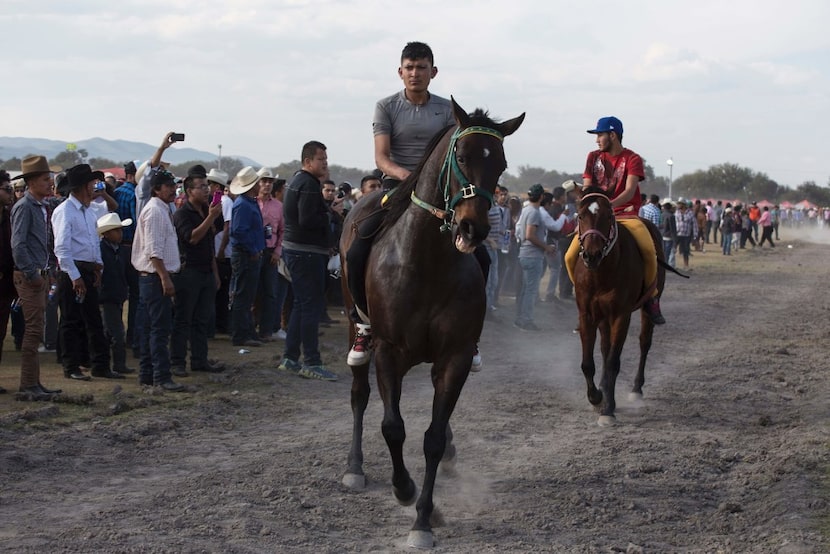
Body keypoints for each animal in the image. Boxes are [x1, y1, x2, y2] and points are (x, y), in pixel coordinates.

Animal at [340, 97, 524, 544]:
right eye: (462, 155)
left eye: (501, 162)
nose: (473, 228)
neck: (424, 263)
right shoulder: (389, 352)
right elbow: (393, 427)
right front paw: (404, 490)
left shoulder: (454, 356)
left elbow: (434, 439)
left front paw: (425, 517)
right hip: (355, 323)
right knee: (359, 393)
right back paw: (354, 468)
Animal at [576, 188, 668, 424]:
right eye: (580, 216)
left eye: (609, 216)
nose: (591, 255)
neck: (601, 272)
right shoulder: (587, 315)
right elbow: (588, 363)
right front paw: (596, 397)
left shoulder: (621, 315)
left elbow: (613, 362)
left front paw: (608, 409)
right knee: (604, 347)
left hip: (646, 307)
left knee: (644, 342)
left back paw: (636, 389)